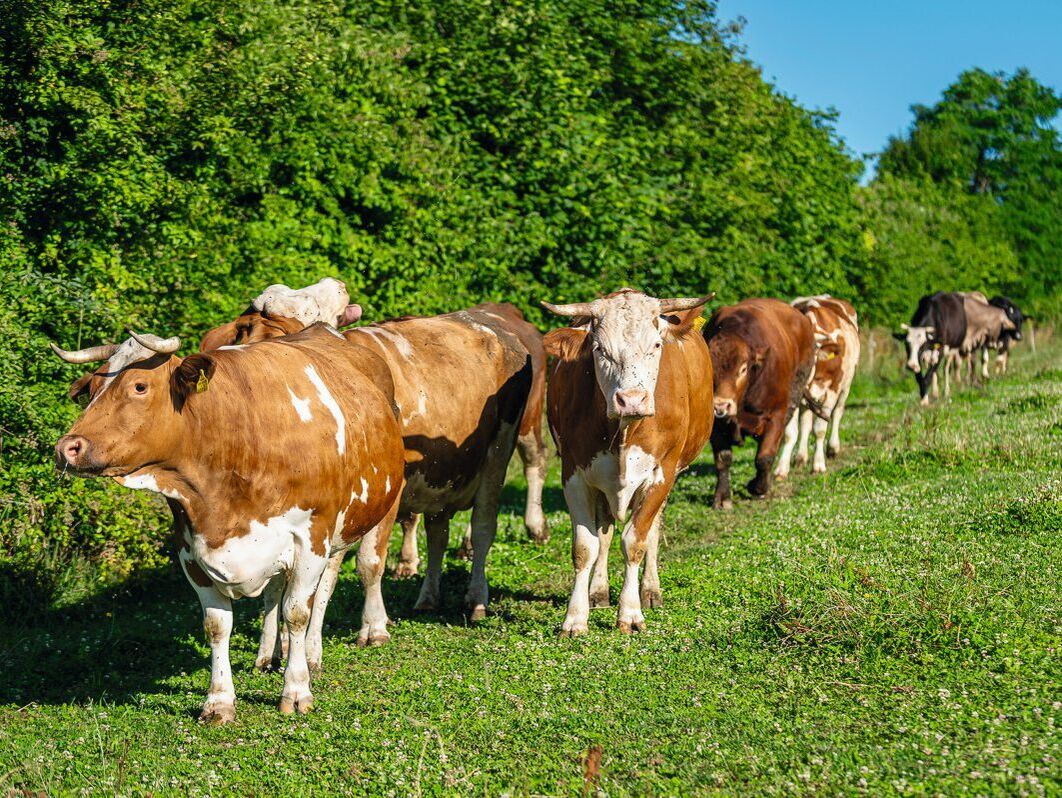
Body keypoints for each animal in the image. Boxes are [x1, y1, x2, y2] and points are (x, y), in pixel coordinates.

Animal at [49, 325, 407, 722]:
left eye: (139, 386)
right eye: (92, 390)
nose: (67, 448)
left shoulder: (311, 535)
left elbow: (298, 612)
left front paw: (296, 690)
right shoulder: (191, 547)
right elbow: (218, 624)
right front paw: (219, 701)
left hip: (379, 505)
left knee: (362, 568)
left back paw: (364, 633)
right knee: (281, 591)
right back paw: (273, 654)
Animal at [539, 289, 713, 637]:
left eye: (656, 346)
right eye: (600, 349)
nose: (631, 400)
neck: (624, 428)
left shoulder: (663, 473)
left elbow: (636, 541)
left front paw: (630, 613)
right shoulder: (574, 474)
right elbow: (585, 547)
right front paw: (575, 617)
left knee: (652, 530)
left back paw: (650, 590)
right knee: (605, 532)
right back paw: (599, 591)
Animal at [709, 297, 815, 507]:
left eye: (743, 369)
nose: (721, 406)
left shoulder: (776, 416)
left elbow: (764, 457)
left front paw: (759, 488)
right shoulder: (716, 423)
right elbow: (723, 458)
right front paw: (723, 497)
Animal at [777, 297, 858, 478]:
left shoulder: (832, 390)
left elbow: (820, 429)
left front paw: (818, 465)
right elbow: (790, 433)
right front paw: (782, 468)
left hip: (846, 386)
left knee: (837, 413)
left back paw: (833, 448)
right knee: (806, 423)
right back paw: (800, 457)